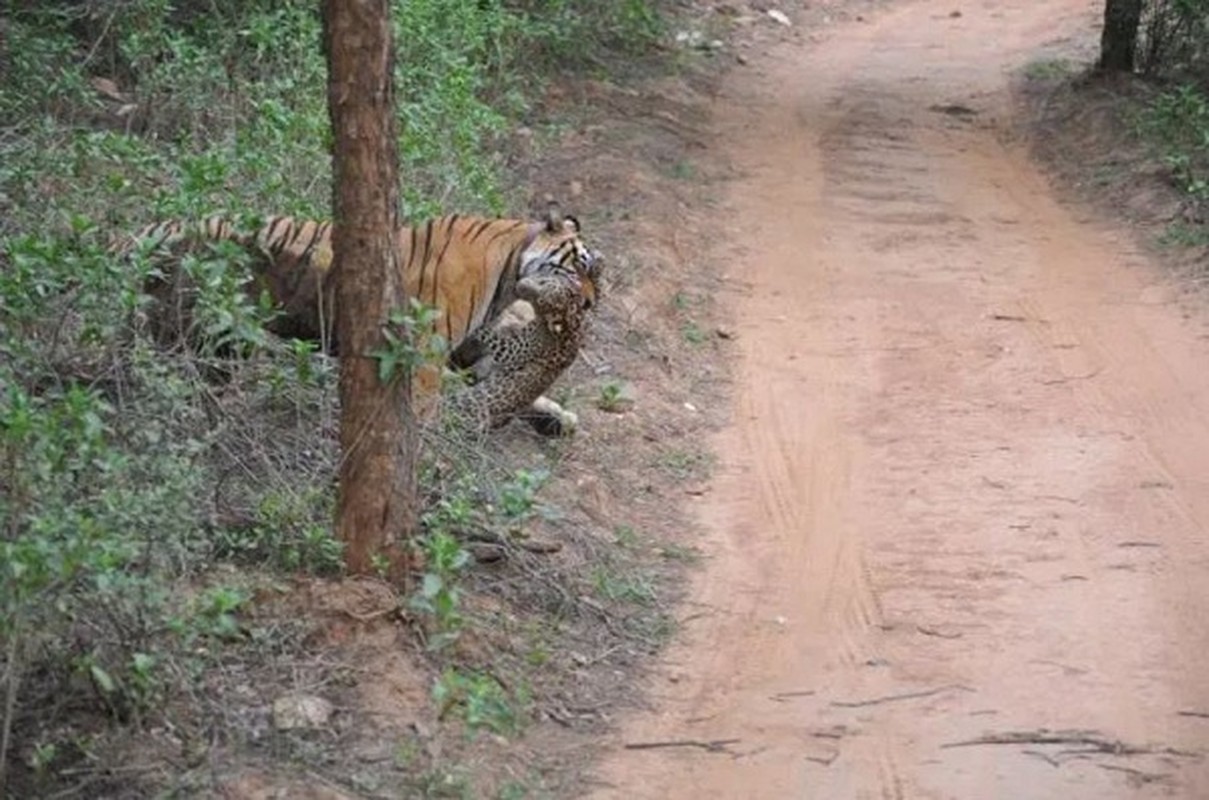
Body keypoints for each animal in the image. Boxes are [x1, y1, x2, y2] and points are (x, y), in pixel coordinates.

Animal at [117, 206, 599, 432]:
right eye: (580, 268)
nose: (590, 305)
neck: (509, 270)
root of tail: (144, 233)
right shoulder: (427, 350)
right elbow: (429, 408)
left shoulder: (469, 343)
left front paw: (559, 416)